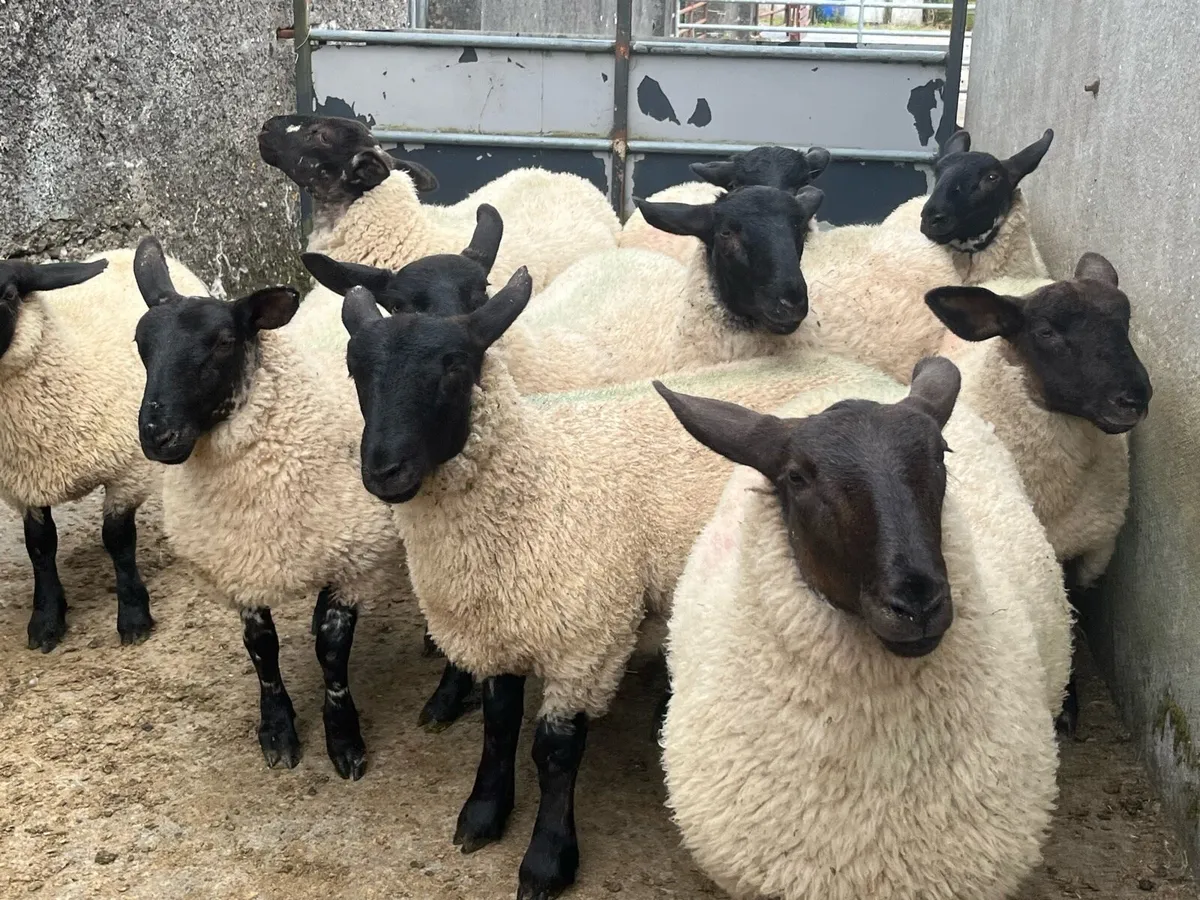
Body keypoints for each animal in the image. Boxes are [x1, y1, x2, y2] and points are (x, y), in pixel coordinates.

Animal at [0, 248, 208, 652]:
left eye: (9, 294)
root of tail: (123, 250)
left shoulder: (127, 470)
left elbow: (118, 540)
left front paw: (134, 616)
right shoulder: (24, 484)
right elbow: (40, 546)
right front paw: (46, 620)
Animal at [127, 231, 496, 779]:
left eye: (223, 341)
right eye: (141, 343)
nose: (157, 435)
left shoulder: (353, 559)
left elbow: (330, 650)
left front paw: (343, 740)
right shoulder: (237, 564)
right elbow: (262, 650)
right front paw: (277, 730)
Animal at [337, 268, 909, 900]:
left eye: (455, 366)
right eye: (356, 370)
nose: (383, 471)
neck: (539, 475)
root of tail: (868, 377)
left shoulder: (587, 640)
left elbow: (555, 752)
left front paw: (547, 860)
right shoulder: (500, 625)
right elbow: (498, 726)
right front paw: (483, 814)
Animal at [924, 252, 1152, 736]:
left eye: (1125, 322)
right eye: (1046, 333)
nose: (1134, 398)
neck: (1052, 494)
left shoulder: (1080, 548)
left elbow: (1067, 613)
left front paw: (1069, 699)